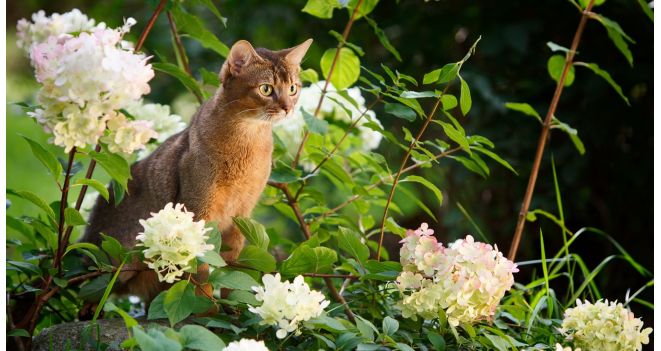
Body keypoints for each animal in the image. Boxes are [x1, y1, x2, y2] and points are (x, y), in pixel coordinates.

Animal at [80, 39, 312, 306]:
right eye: (266, 89)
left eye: (293, 88)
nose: (288, 108)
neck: (248, 141)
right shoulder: (197, 210)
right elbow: (199, 273)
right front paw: (205, 309)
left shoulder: (241, 216)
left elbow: (236, 272)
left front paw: (235, 305)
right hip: (126, 259)